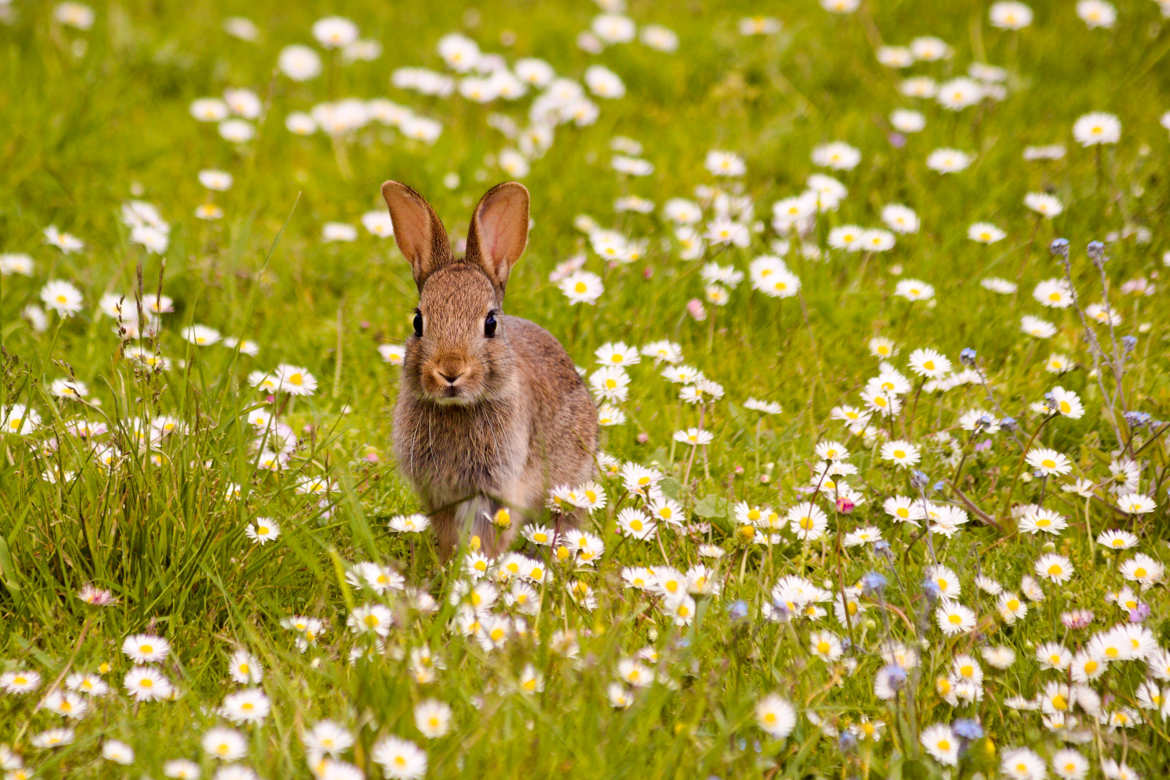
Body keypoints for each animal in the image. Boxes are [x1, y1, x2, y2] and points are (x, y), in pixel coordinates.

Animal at [383, 181, 599, 561]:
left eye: (491, 323)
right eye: (418, 322)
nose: (450, 371)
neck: (458, 409)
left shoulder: (499, 489)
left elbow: (488, 537)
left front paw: (479, 568)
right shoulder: (438, 493)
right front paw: (450, 565)